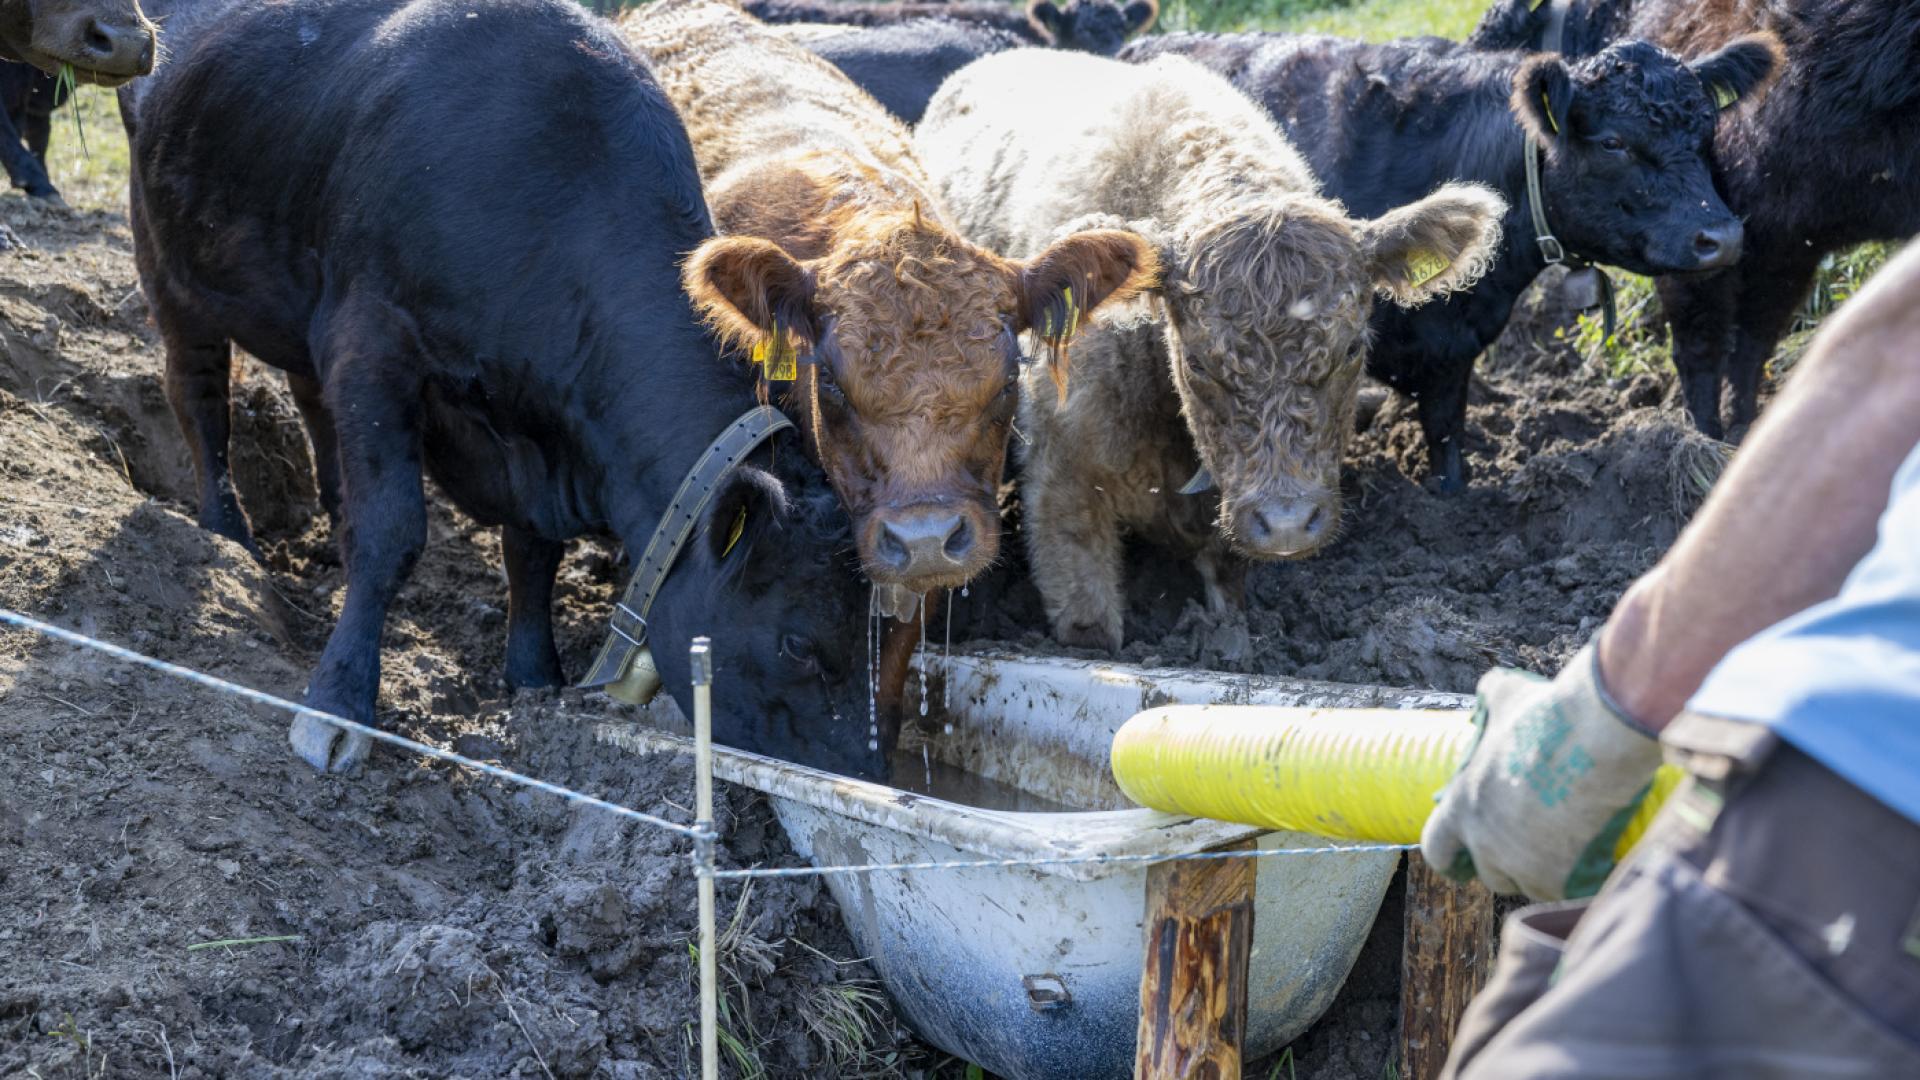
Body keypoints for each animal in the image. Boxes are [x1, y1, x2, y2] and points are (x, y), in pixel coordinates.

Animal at [124, 0, 887, 781]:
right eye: (798, 643)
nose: (865, 775)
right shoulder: (374, 341)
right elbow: (391, 531)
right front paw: (337, 707)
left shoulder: (534, 428)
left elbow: (532, 552)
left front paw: (533, 676)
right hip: (167, 264)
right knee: (199, 395)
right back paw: (225, 531)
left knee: (312, 406)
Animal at [1471, 0, 1920, 441]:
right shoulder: (1784, 244)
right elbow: (1752, 341)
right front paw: (1740, 429)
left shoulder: (1701, 245)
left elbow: (1702, 346)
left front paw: (1703, 433)